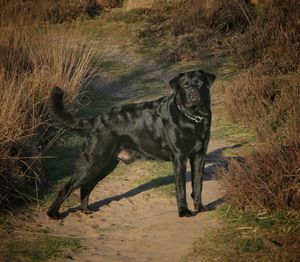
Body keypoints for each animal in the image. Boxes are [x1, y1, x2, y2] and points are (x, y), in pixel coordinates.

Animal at [47, 69, 216, 219]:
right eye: (185, 86)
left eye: (199, 83)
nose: (193, 93)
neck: (193, 118)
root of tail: (96, 120)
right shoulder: (180, 158)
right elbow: (181, 189)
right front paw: (184, 211)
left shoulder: (199, 156)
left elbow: (198, 185)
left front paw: (200, 207)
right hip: (94, 161)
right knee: (68, 187)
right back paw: (53, 213)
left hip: (106, 164)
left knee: (86, 186)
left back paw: (85, 209)